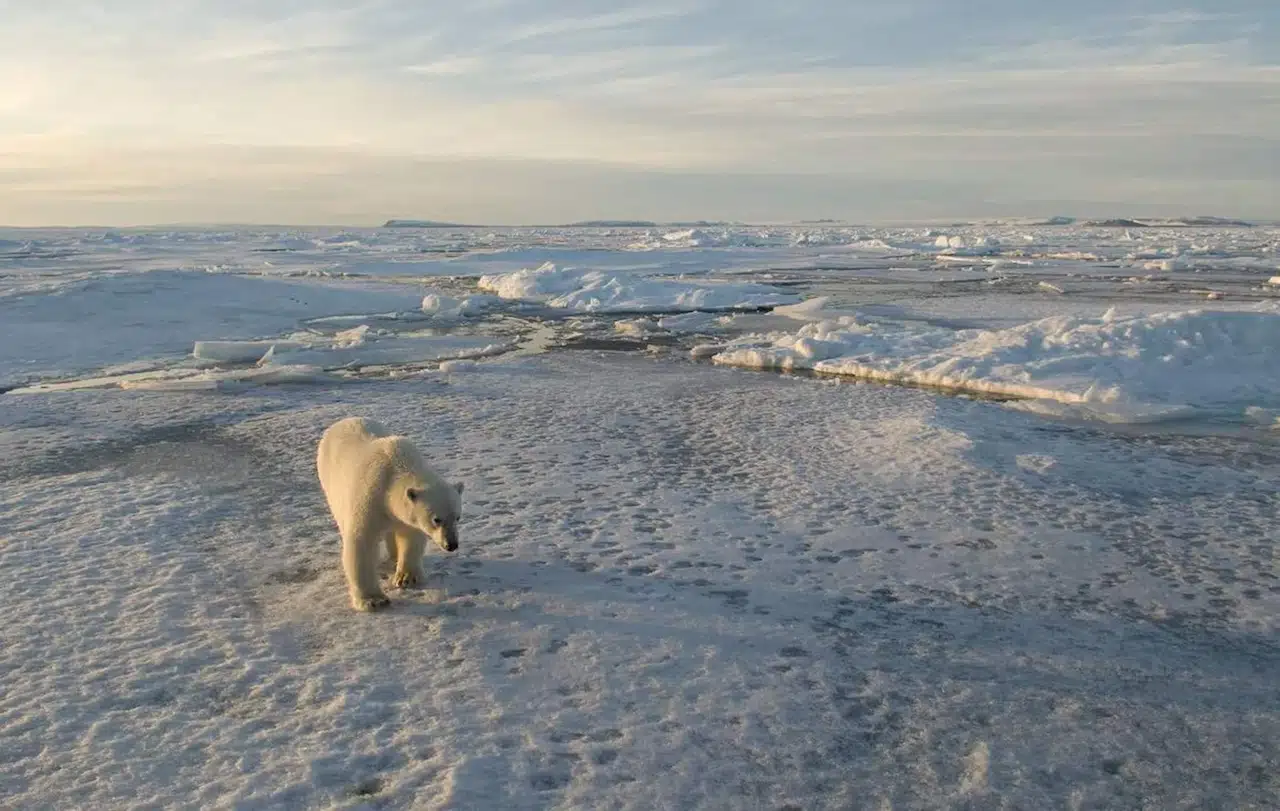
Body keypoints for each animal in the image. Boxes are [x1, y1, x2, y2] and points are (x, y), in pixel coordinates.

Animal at [316, 414, 465, 608]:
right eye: (436, 519)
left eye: (458, 517)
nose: (452, 544)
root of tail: (341, 421)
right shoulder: (370, 497)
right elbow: (362, 542)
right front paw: (373, 599)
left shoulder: (405, 513)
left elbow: (410, 535)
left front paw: (406, 578)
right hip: (331, 484)